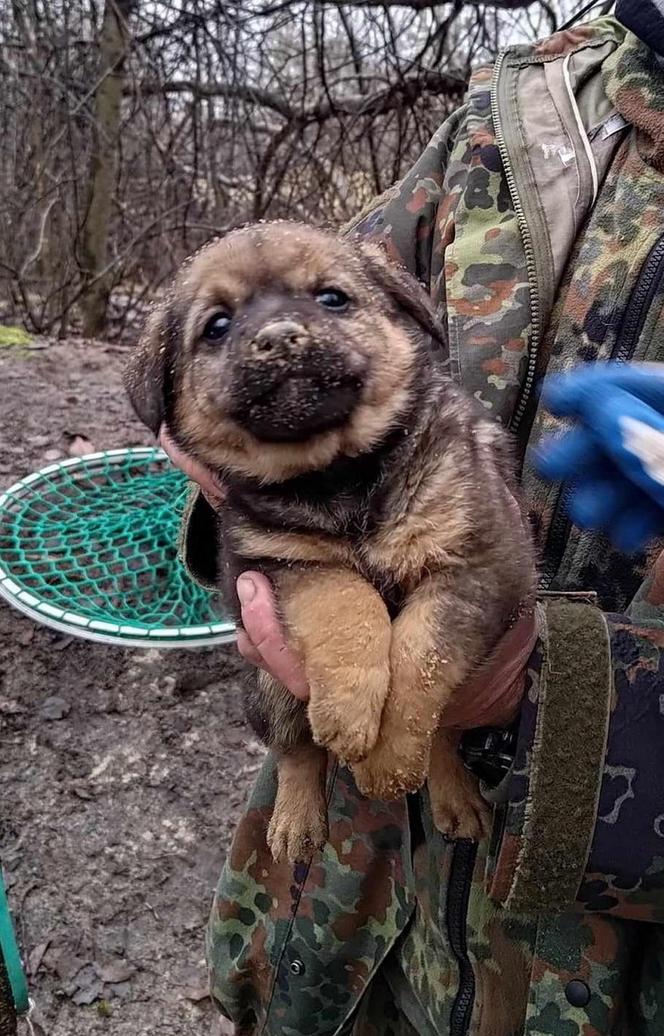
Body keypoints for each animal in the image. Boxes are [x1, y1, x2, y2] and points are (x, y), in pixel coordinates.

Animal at [125, 222, 538, 861]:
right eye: (216, 325)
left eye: (332, 298)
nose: (279, 338)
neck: (339, 478)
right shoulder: (280, 563)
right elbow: (348, 605)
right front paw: (348, 714)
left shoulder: (481, 558)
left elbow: (421, 654)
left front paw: (387, 760)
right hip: (266, 687)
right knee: (295, 748)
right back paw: (295, 824)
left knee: (444, 734)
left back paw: (456, 797)